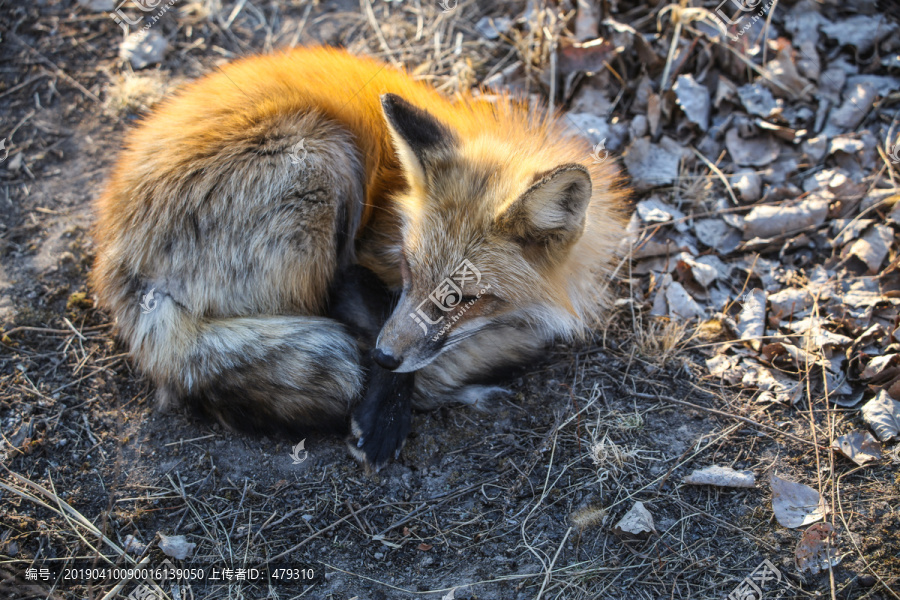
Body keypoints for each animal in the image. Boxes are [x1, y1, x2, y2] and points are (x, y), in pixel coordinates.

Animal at [89, 47, 624, 468]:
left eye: (466, 299)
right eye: (409, 269)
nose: (385, 358)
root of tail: (122, 263)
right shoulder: (358, 266)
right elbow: (402, 341)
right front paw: (387, 413)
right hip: (321, 156)